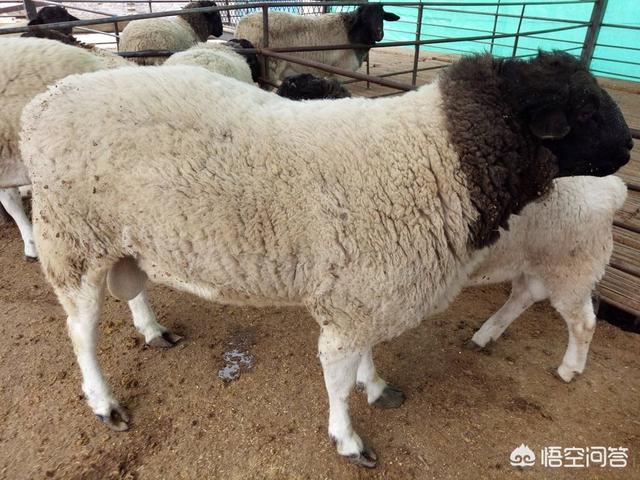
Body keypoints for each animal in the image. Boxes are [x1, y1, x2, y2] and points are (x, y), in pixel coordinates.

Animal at [232, 4, 398, 85]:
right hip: (270, 69)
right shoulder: (342, 70)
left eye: (382, 16)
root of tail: (241, 26)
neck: (352, 32)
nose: (379, 34)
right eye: (364, 17)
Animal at [464, 175, 624, 382]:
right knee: (524, 295)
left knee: (583, 323)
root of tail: (612, 186)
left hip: (570, 270)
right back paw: (485, 335)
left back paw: (568, 370)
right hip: (535, 263)